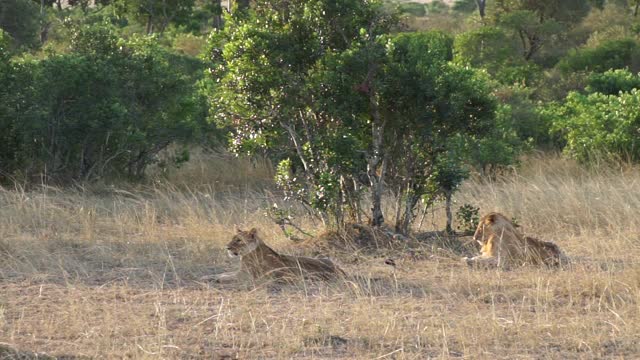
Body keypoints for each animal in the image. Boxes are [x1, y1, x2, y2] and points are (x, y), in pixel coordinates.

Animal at [214, 228, 344, 284]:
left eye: (239, 240)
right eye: (232, 238)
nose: (227, 247)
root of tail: (339, 271)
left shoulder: (245, 276)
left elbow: (226, 276)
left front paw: (216, 278)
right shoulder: (241, 272)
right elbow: (225, 273)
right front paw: (215, 276)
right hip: (323, 258)